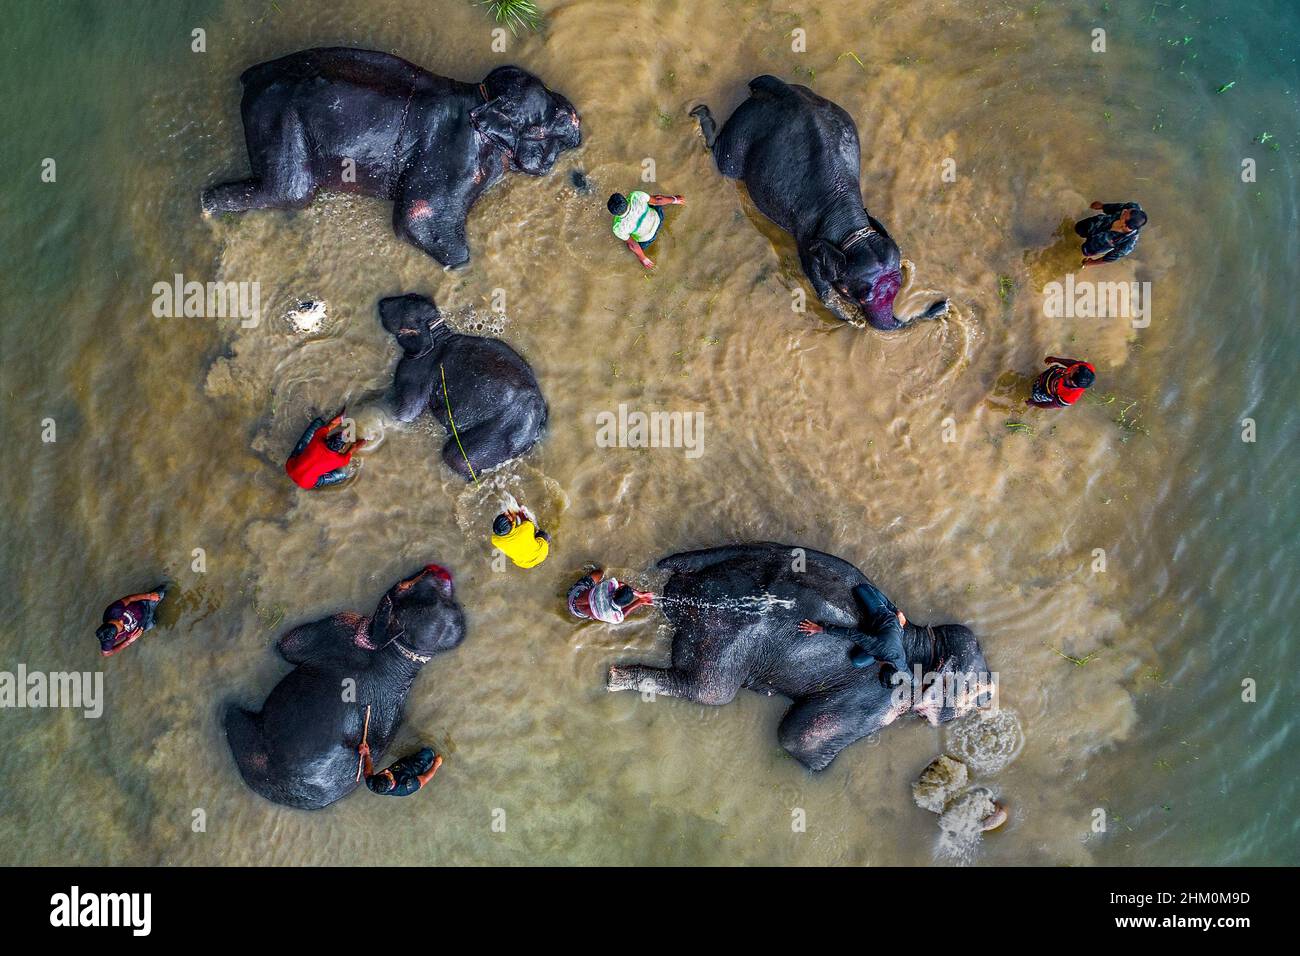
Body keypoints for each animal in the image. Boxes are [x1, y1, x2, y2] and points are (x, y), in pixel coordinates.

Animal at [200, 47, 582, 267]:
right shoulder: (453, 158)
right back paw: (207, 209)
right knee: (291, 191)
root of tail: (250, 78)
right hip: (276, 119)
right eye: (552, 121)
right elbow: (417, 221)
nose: (576, 116)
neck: (483, 99)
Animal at [224, 564, 467, 811]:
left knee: (234, 715)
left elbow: (287, 646)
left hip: (253, 752)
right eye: (451, 603)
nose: (440, 570)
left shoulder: (343, 626)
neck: (402, 652)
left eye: (403, 587)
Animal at [377, 291, 548, 481]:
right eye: (410, 295)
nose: (380, 303)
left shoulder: (416, 368)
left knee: (454, 456)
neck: (436, 331)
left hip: (499, 430)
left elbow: (405, 413)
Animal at [608, 541, 993, 775]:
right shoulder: (878, 701)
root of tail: (681, 598)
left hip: (748, 554)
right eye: (977, 694)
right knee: (710, 691)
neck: (921, 644)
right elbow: (797, 740)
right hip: (723, 641)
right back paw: (617, 678)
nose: (990, 696)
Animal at [691, 74, 946, 330]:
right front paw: (849, 318)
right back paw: (698, 113)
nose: (941, 303)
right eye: (857, 294)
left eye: (899, 281)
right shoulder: (807, 242)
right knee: (724, 160)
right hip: (744, 128)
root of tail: (777, 87)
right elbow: (822, 288)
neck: (848, 222)